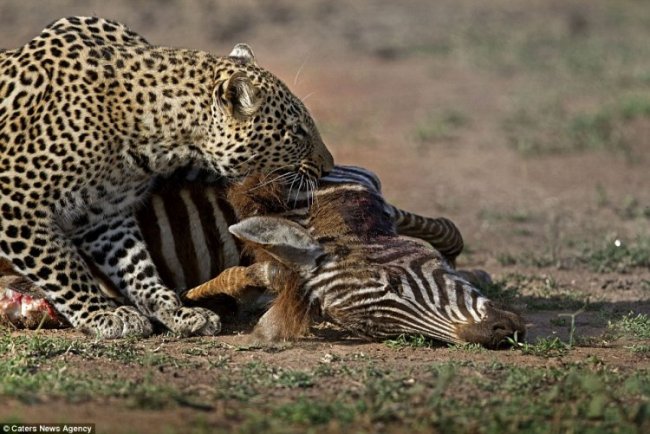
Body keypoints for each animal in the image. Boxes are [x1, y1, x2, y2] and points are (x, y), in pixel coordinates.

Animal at [0, 16, 334, 340]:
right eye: (297, 132)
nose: (329, 166)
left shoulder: (104, 215)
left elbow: (135, 265)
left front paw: (173, 311)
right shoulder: (17, 206)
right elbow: (63, 267)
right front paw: (101, 314)